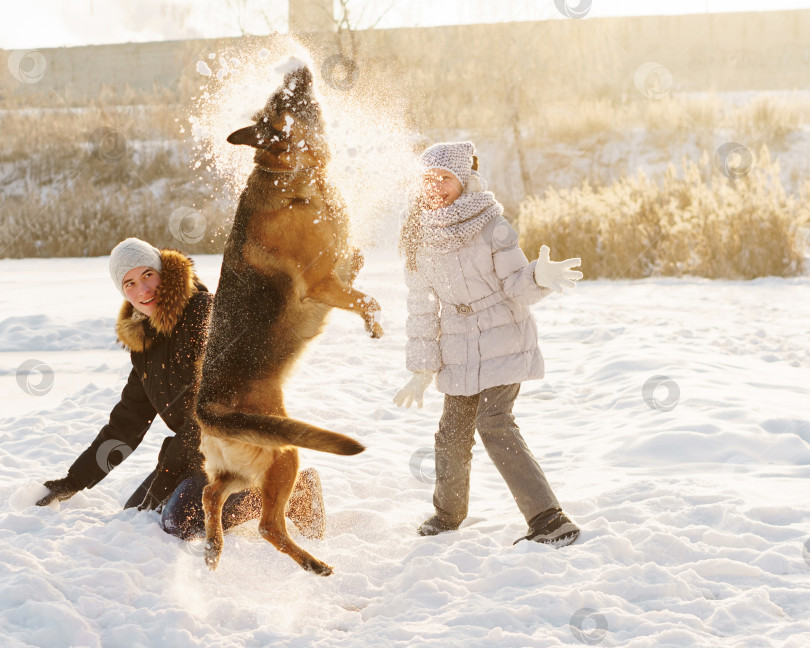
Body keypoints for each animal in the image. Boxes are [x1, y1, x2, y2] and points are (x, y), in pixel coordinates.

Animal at [196, 60, 386, 576]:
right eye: (283, 103)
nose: (297, 66)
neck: (290, 172)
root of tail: (204, 409)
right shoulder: (322, 284)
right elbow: (364, 298)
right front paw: (374, 325)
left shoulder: (338, 270)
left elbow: (357, 264)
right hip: (287, 453)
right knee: (267, 526)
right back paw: (313, 564)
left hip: (243, 470)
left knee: (210, 494)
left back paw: (214, 546)